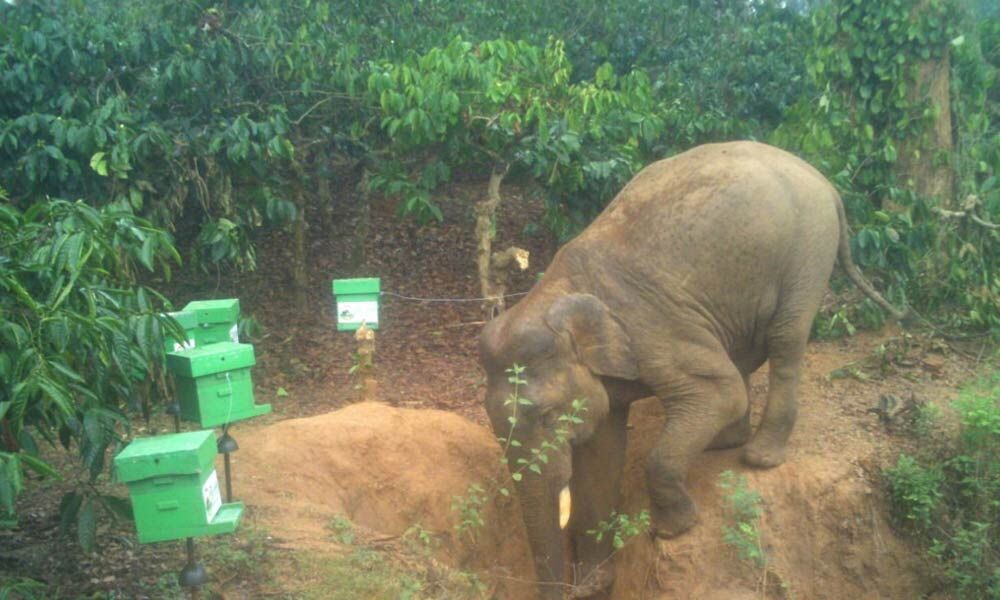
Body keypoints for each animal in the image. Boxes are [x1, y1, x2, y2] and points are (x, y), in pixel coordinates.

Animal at [478, 141, 906, 599]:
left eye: (547, 415)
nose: (575, 588)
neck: (554, 294)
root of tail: (824, 182)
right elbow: (601, 454)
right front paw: (596, 583)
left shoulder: (654, 328)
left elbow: (717, 393)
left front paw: (673, 531)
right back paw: (723, 442)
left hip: (808, 249)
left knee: (785, 340)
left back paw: (758, 456)